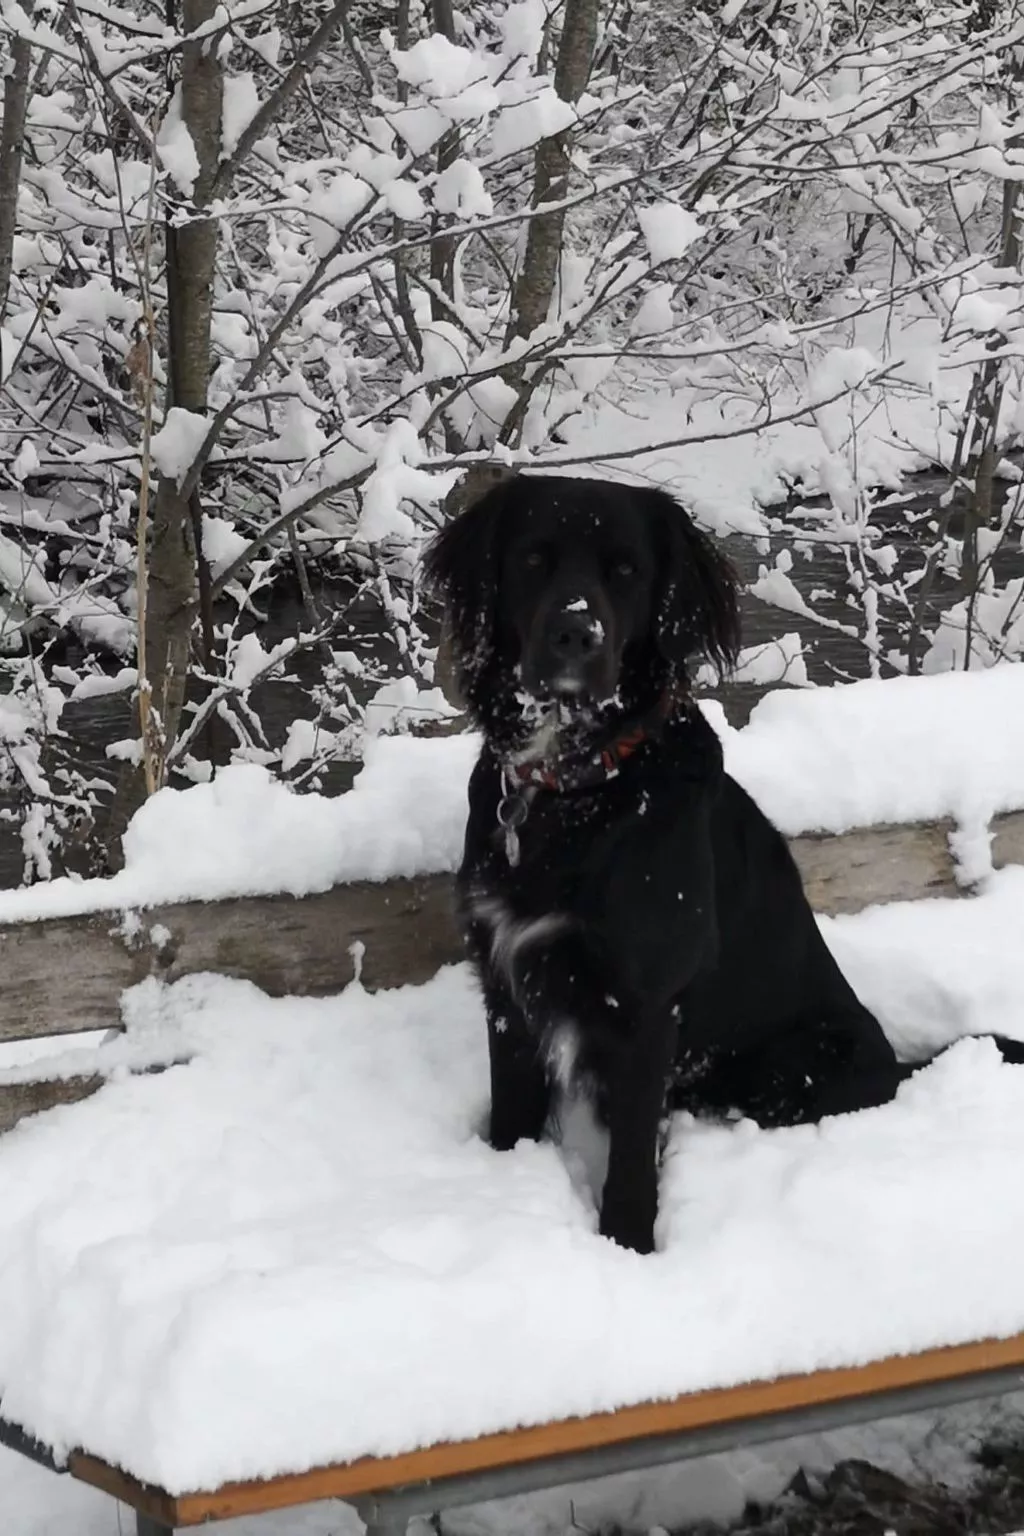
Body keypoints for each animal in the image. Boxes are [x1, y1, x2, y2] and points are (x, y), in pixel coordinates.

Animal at [423, 473, 1024, 1253]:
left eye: (626, 571)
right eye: (532, 559)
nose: (576, 635)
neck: (579, 790)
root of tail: (895, 1064)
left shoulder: (646, 1004)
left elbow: (630, 1161)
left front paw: (628, 1248)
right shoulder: (506, 975)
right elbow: (512, 1111)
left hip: (793, 1064)